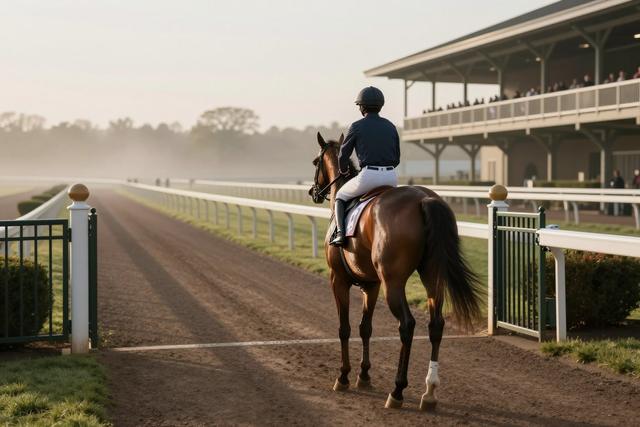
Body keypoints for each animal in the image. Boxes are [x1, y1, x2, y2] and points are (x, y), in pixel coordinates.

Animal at [309, 132, 482, 411]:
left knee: (407, 325)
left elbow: (345, 328)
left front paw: (343, 376)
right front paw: (364, 376)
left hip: (394, 282)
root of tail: (424, 199)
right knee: (436, 325)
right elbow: (365, 328)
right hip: (432, 275)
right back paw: (429, 392)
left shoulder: (339, 280)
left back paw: (398, 390)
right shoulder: (371, 284)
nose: (313, 191)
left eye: (316, 161)